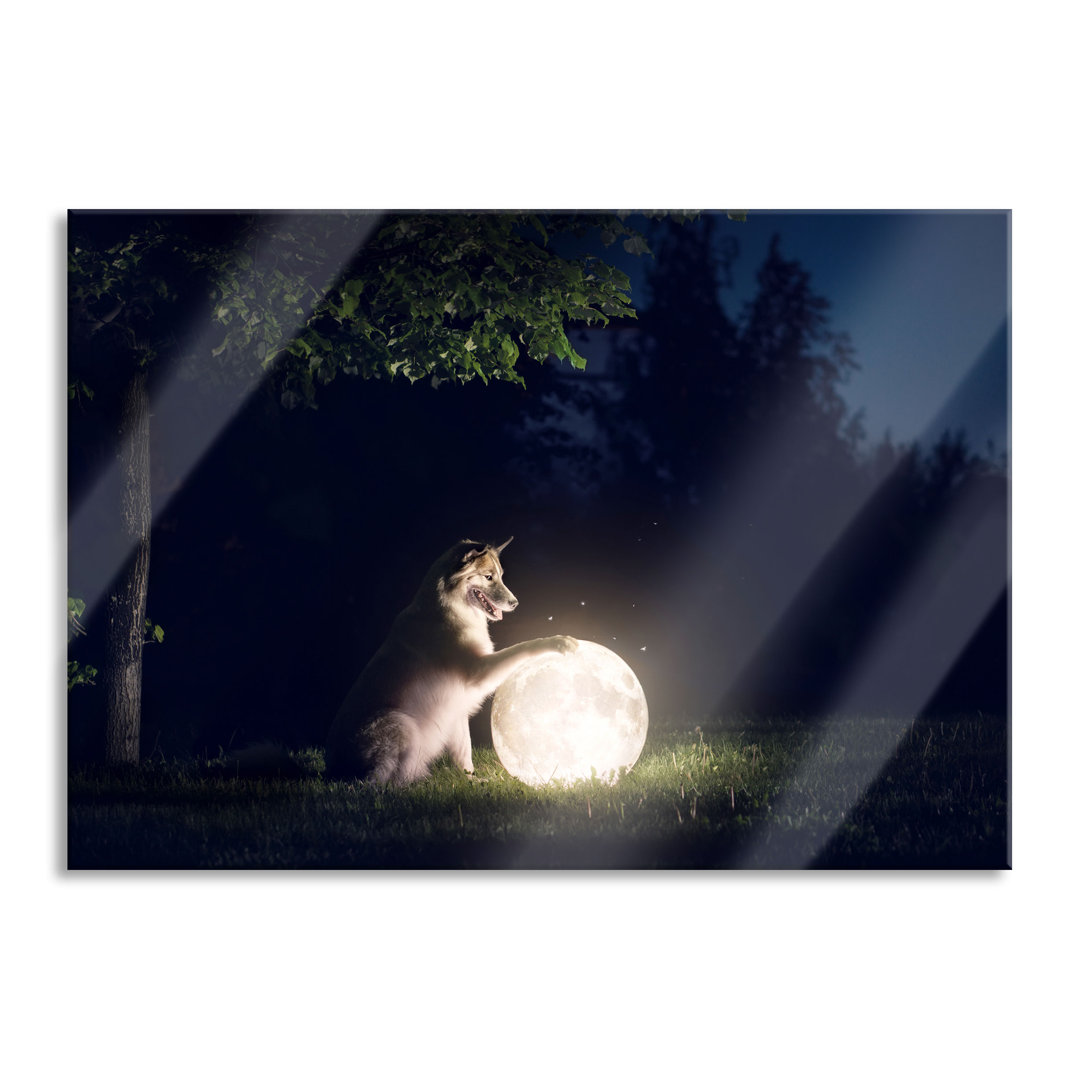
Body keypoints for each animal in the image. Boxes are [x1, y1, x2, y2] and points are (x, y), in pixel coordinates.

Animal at [326, 537, 583, 786]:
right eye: (488, 577)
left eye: (499, 576)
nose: (515, 603)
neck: (449, 608)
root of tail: (333, 771)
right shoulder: (479, 672)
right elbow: (521, 647)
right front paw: (557, 642)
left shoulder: (457, 710)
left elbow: (464, 752)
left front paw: (472, 779)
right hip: (400, 724)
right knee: (381, 782)